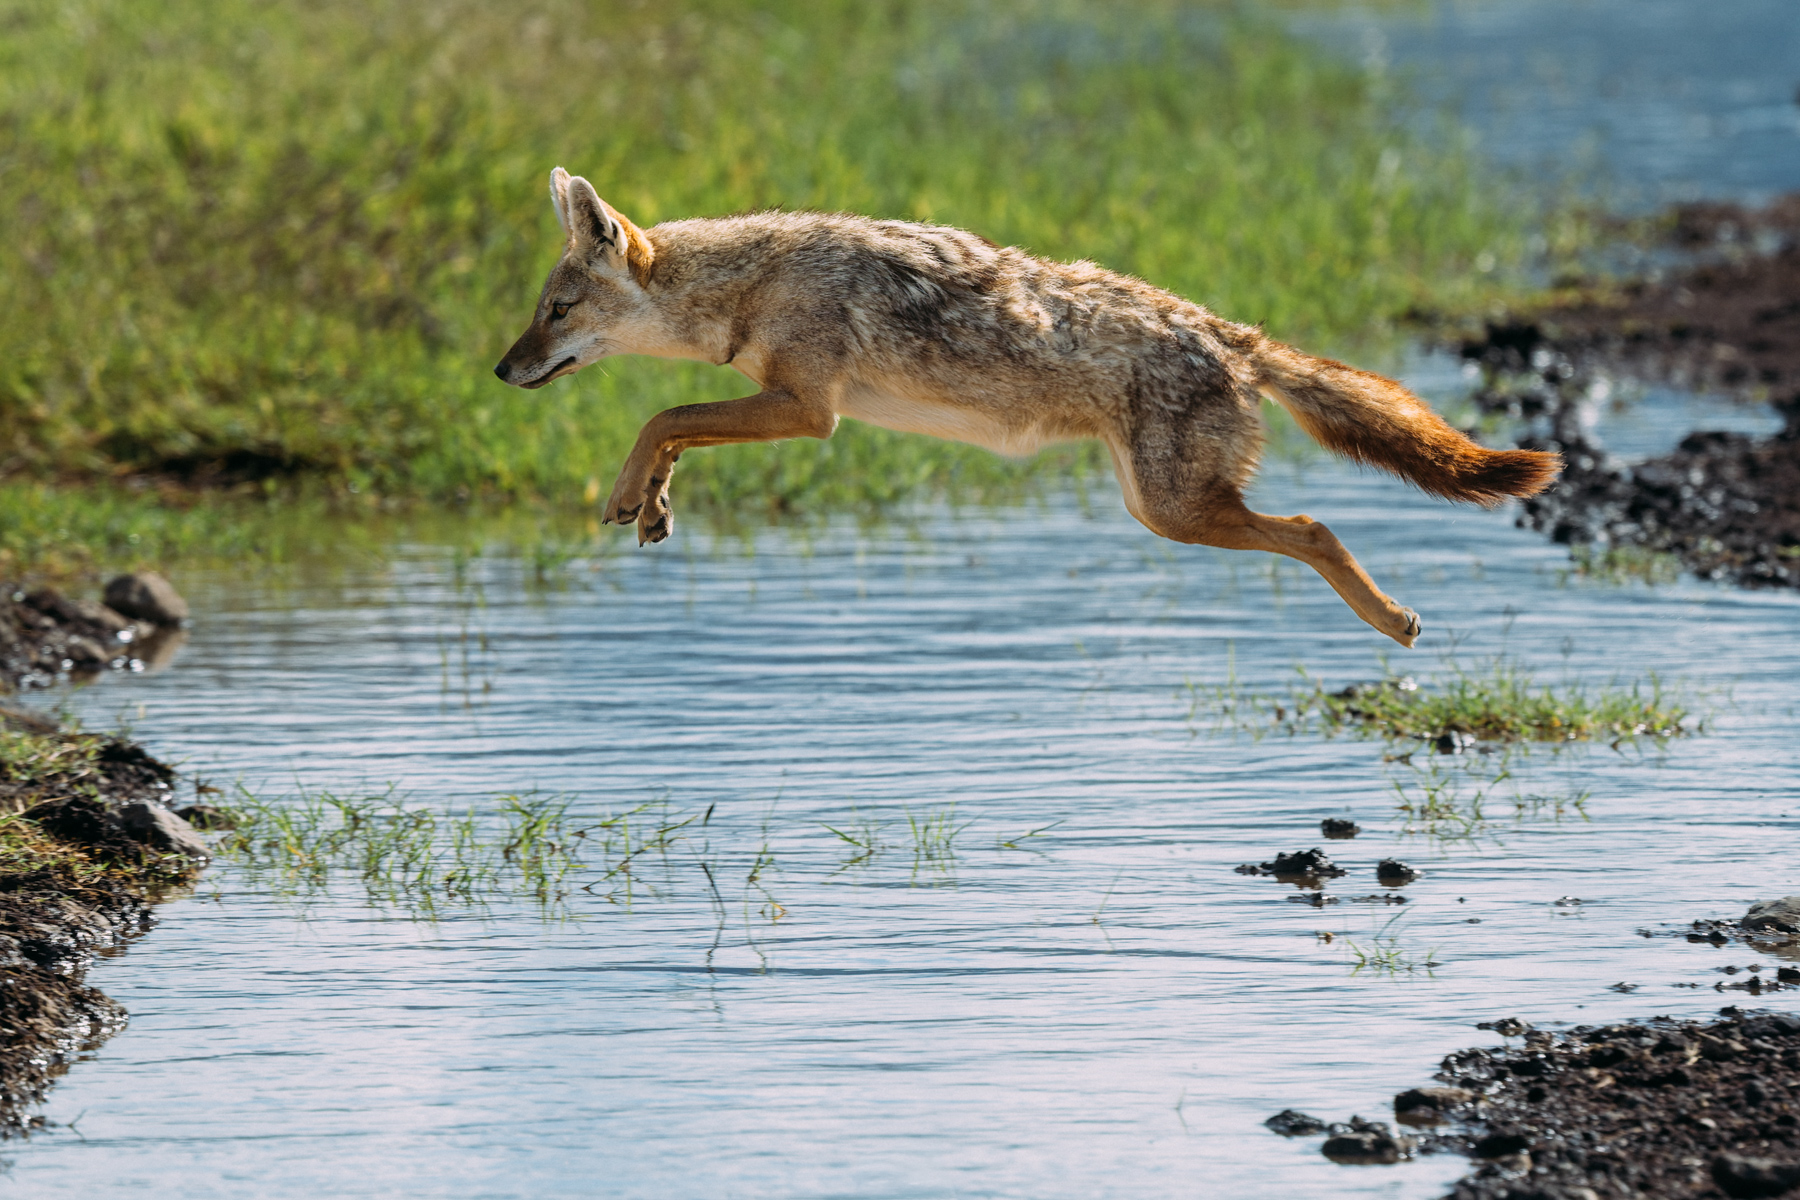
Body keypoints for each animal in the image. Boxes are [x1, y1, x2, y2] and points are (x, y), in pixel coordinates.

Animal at [495, 168, 1560, 646]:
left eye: (556, 311)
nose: (502, 370)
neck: (753, 281)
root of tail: (1235, 335)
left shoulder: (809, 411)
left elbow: (664, 414)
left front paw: (629, 492)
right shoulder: (783, 404)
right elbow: (673, 429)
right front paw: (650, 504)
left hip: (1174, 512)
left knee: (1316, 527)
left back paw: (1394, 623)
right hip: (1161, 509)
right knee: (1312, 525)